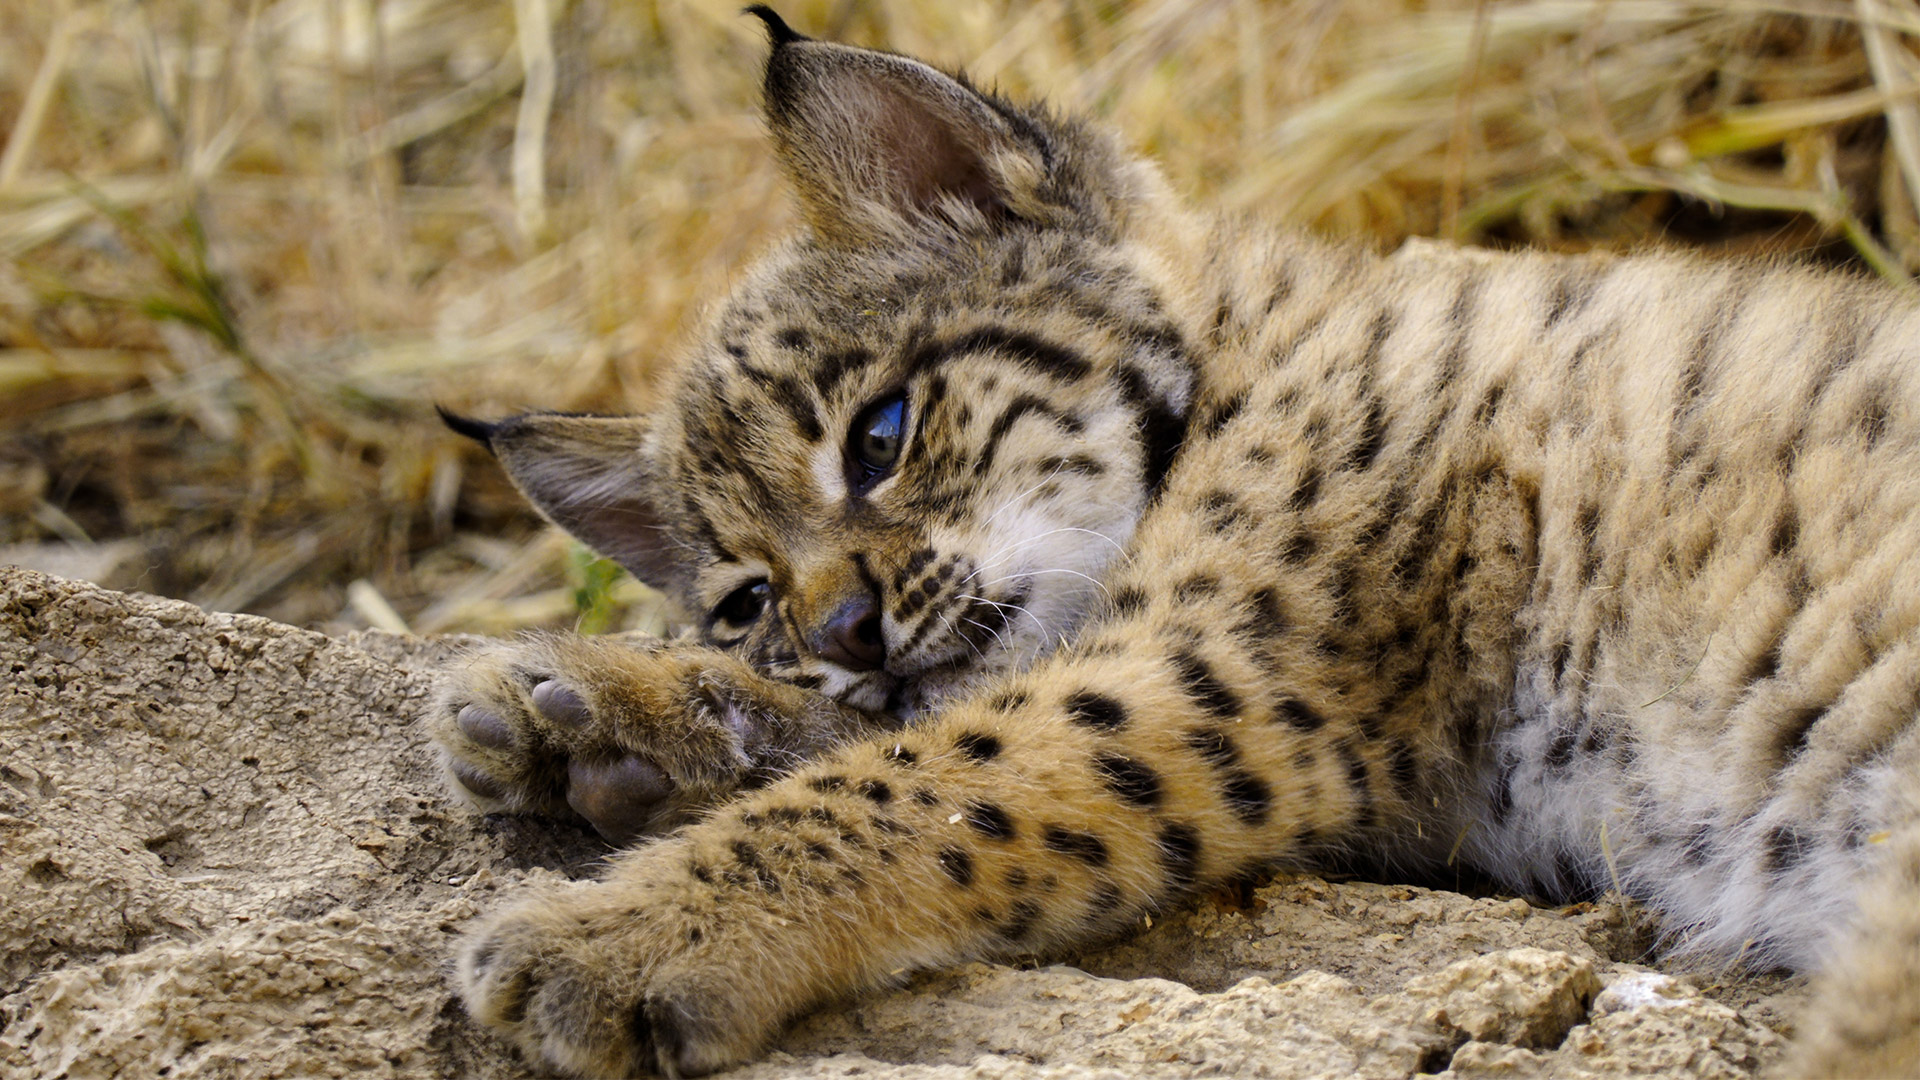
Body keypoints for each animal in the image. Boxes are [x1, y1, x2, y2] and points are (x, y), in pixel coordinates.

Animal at [429, 8, 1920, 1077]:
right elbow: (896, 730)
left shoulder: (1225, 677)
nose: (846, 633)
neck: (1246, 344)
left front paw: (622, 927)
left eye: (882, 436)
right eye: (744, 601)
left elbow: (930, 779)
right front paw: (598, 704)